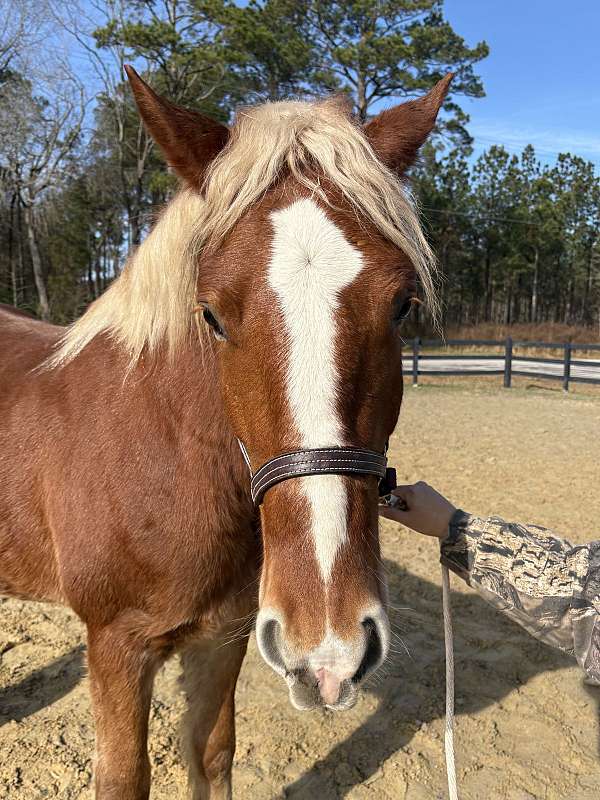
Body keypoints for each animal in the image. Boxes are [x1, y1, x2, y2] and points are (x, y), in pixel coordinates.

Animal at [0, 70, 450, 800]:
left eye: (402, 305)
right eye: (210, 314)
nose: (329, 645)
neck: (163, 457)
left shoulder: (224, 637)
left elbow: (211, 753)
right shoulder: (117, 646)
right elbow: (124, 776)